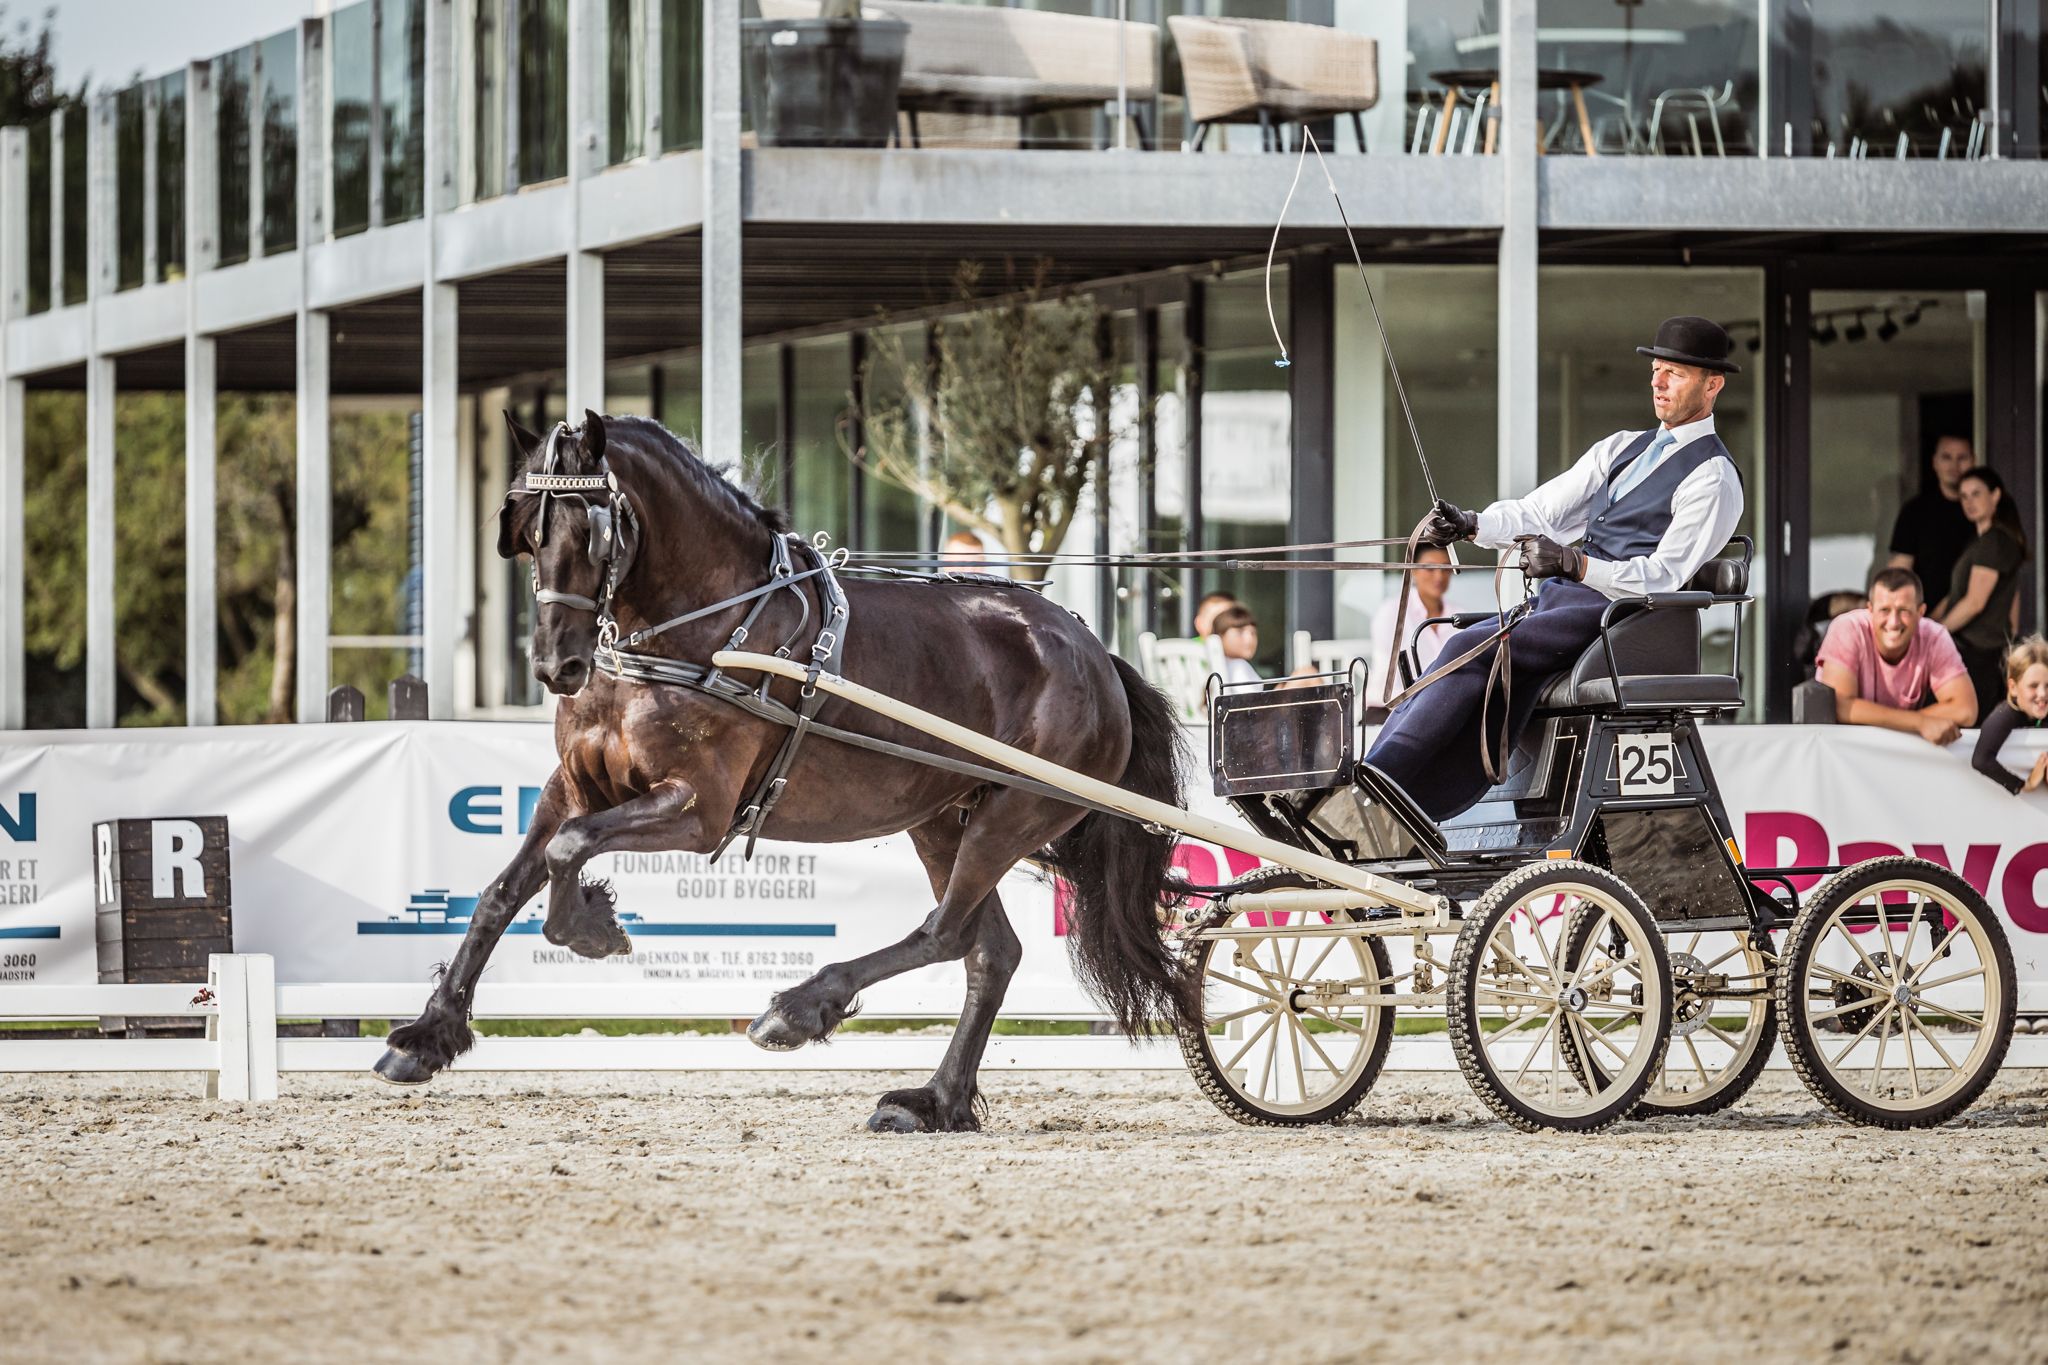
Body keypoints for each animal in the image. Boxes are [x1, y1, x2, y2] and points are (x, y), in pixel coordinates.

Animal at [373, 411, 1197, 1132]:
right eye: (523, 525)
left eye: (595, 528)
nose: (555, 665)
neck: (702, 629)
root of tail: (1091, 649)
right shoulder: (573, 787)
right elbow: (505, 887)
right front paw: (427, 1035)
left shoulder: (698, 810)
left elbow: (569, 850)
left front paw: (592, 927)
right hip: (942, 819)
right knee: (989, 952)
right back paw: (934, 1101)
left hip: (1011, 816)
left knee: (946, 933)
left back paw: (800, 1010)